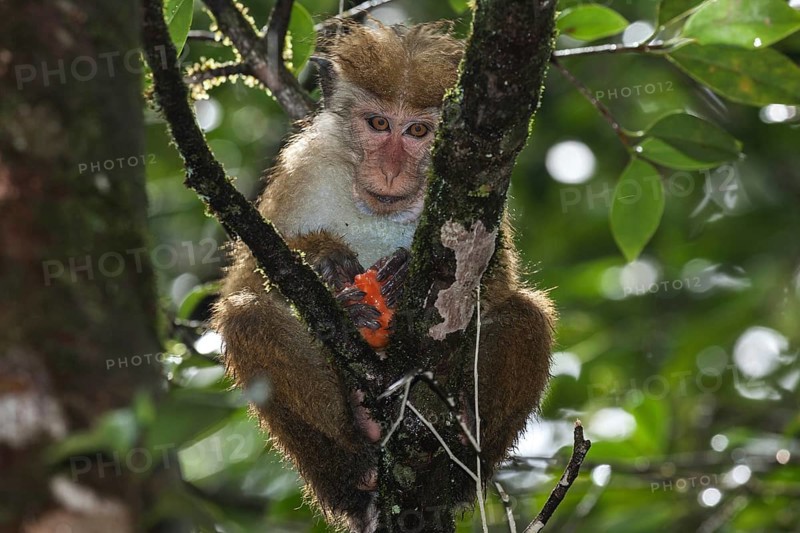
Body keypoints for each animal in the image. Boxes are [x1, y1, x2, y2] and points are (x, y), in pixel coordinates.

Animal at [212, 22, 555, 532]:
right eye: (377, 124)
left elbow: (497, 288)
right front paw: (325, 261)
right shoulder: (302, 169)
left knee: (526, 314)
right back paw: (356, 454)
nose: (391, 170)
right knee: (246, 315)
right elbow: (246, 283)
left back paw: (463, 452)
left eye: (417, 131)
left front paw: (410, 270)